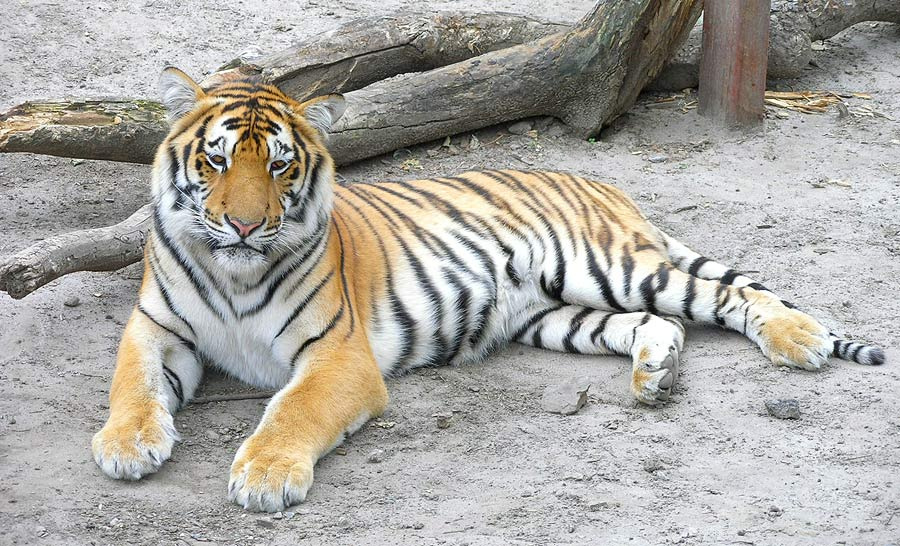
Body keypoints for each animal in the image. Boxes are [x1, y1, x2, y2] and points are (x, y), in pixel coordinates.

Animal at [91, 67, 886, 513]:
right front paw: (127, 444)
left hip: (606, 264)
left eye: (282, 166)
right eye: (217, 161)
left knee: (726, 297)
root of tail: (603, 184)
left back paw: (800, 338)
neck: (235, 270)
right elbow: (131, 384)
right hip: (558, 313)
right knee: (657, 323)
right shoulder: (155, 329)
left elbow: (292, 410)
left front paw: (264, 474)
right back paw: (655, 376)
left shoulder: (339, 354)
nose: (246, 225)